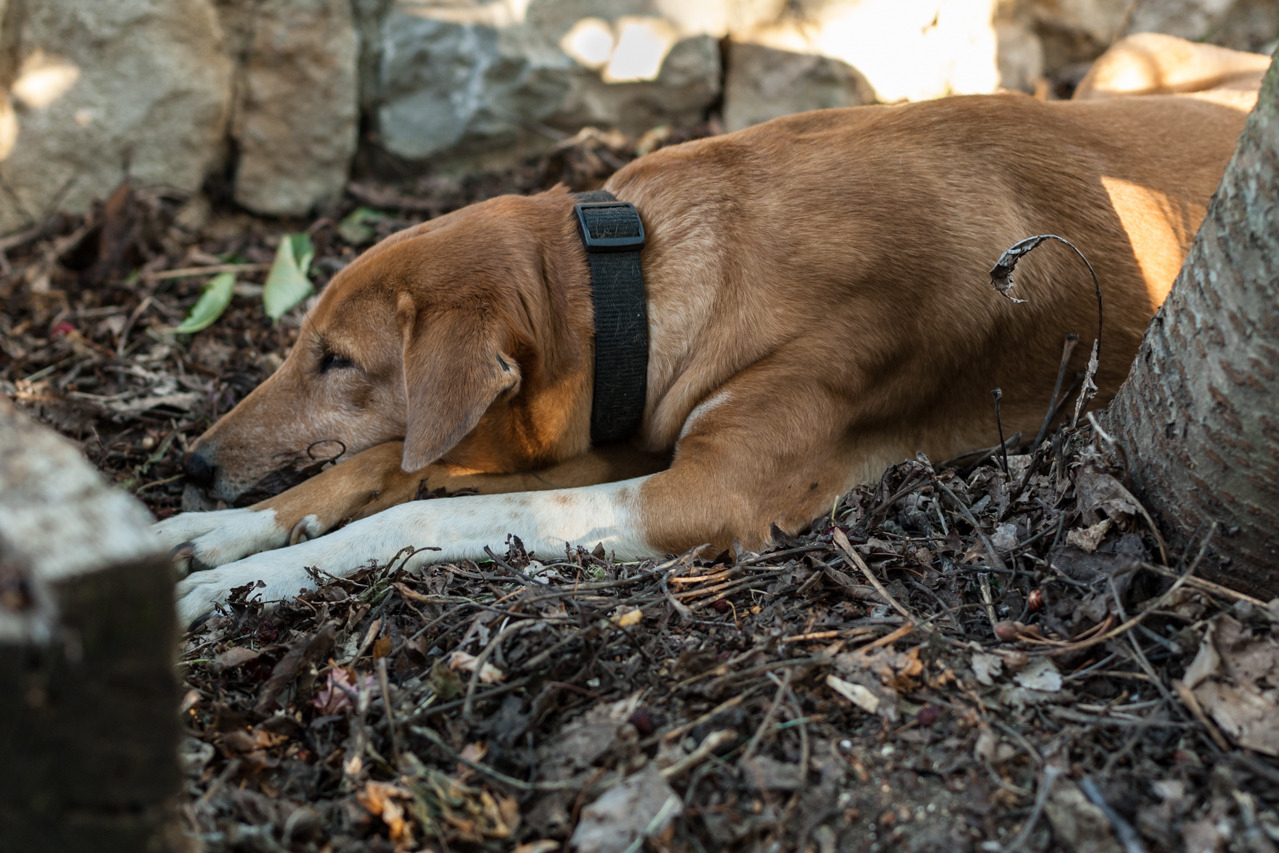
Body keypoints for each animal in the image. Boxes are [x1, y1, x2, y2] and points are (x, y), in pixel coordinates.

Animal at [152, 90, 1248, 624]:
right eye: (303, 344)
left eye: (338, 361)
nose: (193, 462)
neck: (639, 271)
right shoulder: (620, 426)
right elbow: (389, 465)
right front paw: (224, 531)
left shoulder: (706, 491)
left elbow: (429, 506)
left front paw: (263, 571)